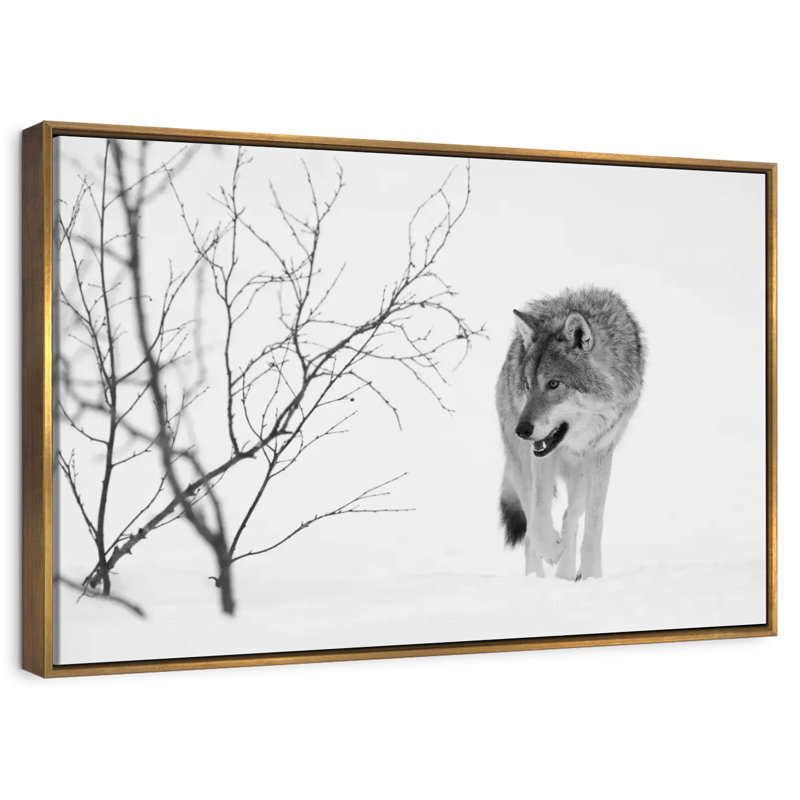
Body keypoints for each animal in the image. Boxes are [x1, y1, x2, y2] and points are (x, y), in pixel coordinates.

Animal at [495, 286, 645, 580]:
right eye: (527, 385)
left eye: (553, 384)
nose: (522, 430)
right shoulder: (540, 457)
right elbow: (539, 517)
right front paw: (551, 550)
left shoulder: (601, 454)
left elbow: (593, 528)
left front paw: (590, 576)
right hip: (521, 467)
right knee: (530, 532)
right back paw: (538, 576)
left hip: (583, 477)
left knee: (570, 518)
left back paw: (565, 574)